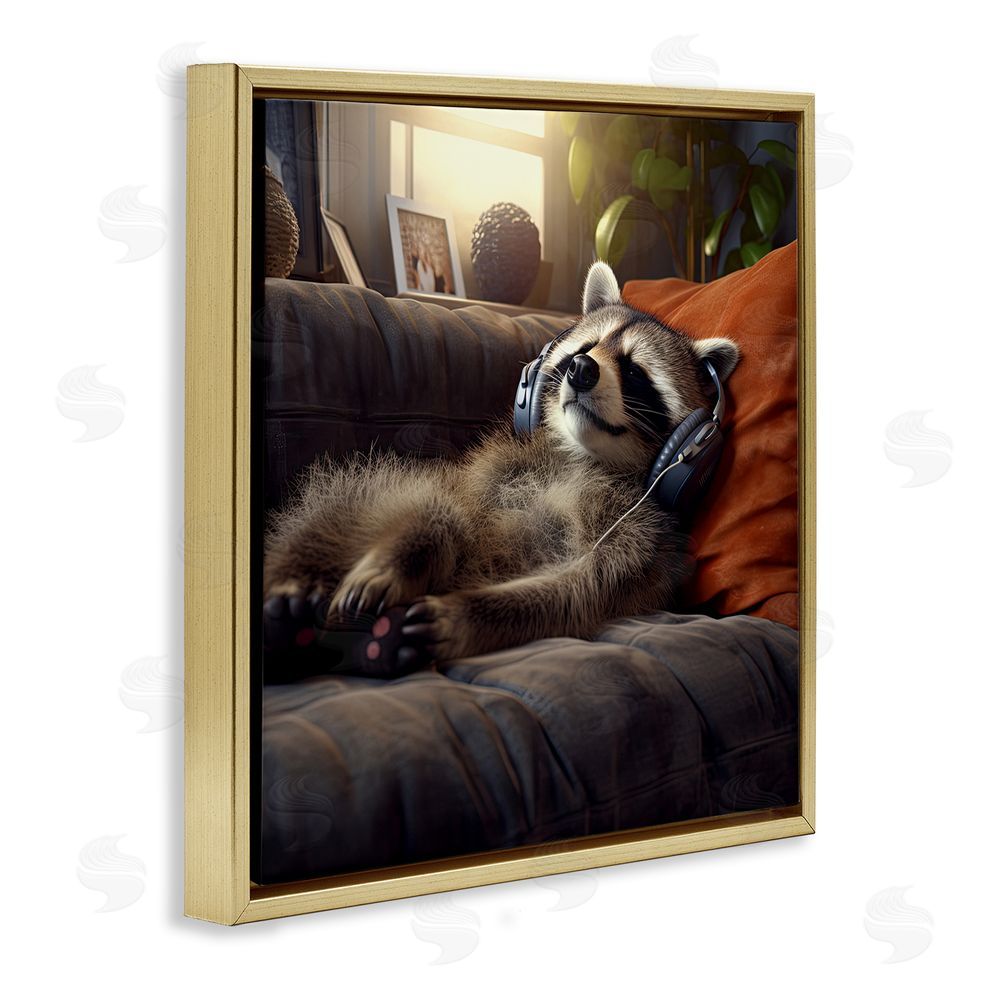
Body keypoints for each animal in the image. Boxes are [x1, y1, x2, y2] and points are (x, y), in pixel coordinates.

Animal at [263, 261, 740, 664]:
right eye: (585, 348)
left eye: (635, 372)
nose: (581, 369)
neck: (582, 456)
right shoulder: (486, 468)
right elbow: (439, 506)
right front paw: (401, 559)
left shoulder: (640, 543)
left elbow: (579, 590)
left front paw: (470, 613)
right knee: (351, 500)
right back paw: (294, 578)